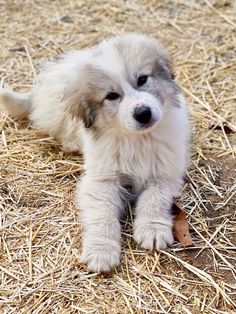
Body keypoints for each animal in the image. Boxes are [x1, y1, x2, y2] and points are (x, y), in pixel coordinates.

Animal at [0, 32, 190, 272]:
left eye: (142, 79)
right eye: (111, 96)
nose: (143, 113)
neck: (137, 139)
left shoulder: (165, 173)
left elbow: (153, 199)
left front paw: (153, 229)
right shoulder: (101, 181)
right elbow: (102, 215)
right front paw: (102, 251)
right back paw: (71, 142)